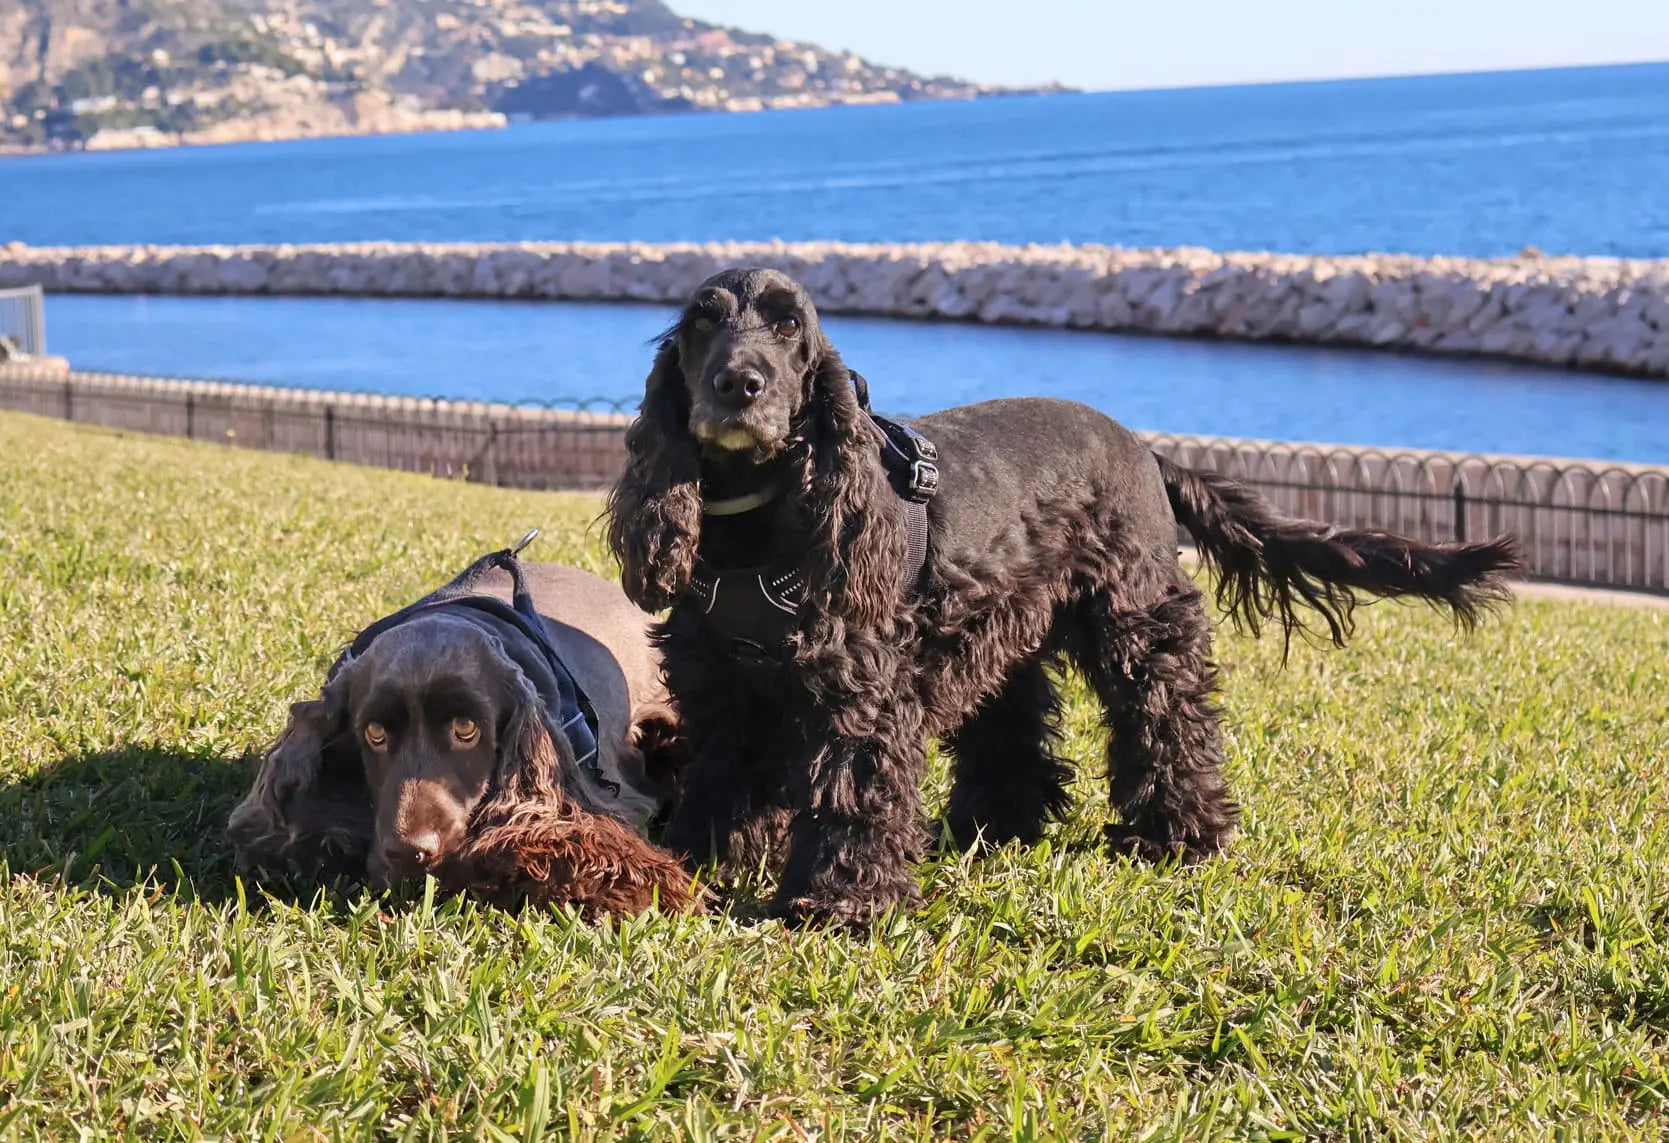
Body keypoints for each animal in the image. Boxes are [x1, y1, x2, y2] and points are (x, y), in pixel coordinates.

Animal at [604, 266, 1528, 927]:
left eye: (789, 327)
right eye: (701, 323)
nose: (739, 383)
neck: (755, 525)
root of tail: (1147, 448)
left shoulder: (856, 692)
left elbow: (853, 791)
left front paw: (840, 903)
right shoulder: (721, 686)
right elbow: (723, 778)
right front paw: (700, 862)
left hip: (1138, 617)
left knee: (1168, 718)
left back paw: (1176, 834)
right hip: (999, 628)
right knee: (1011, 723)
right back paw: (995, 825)